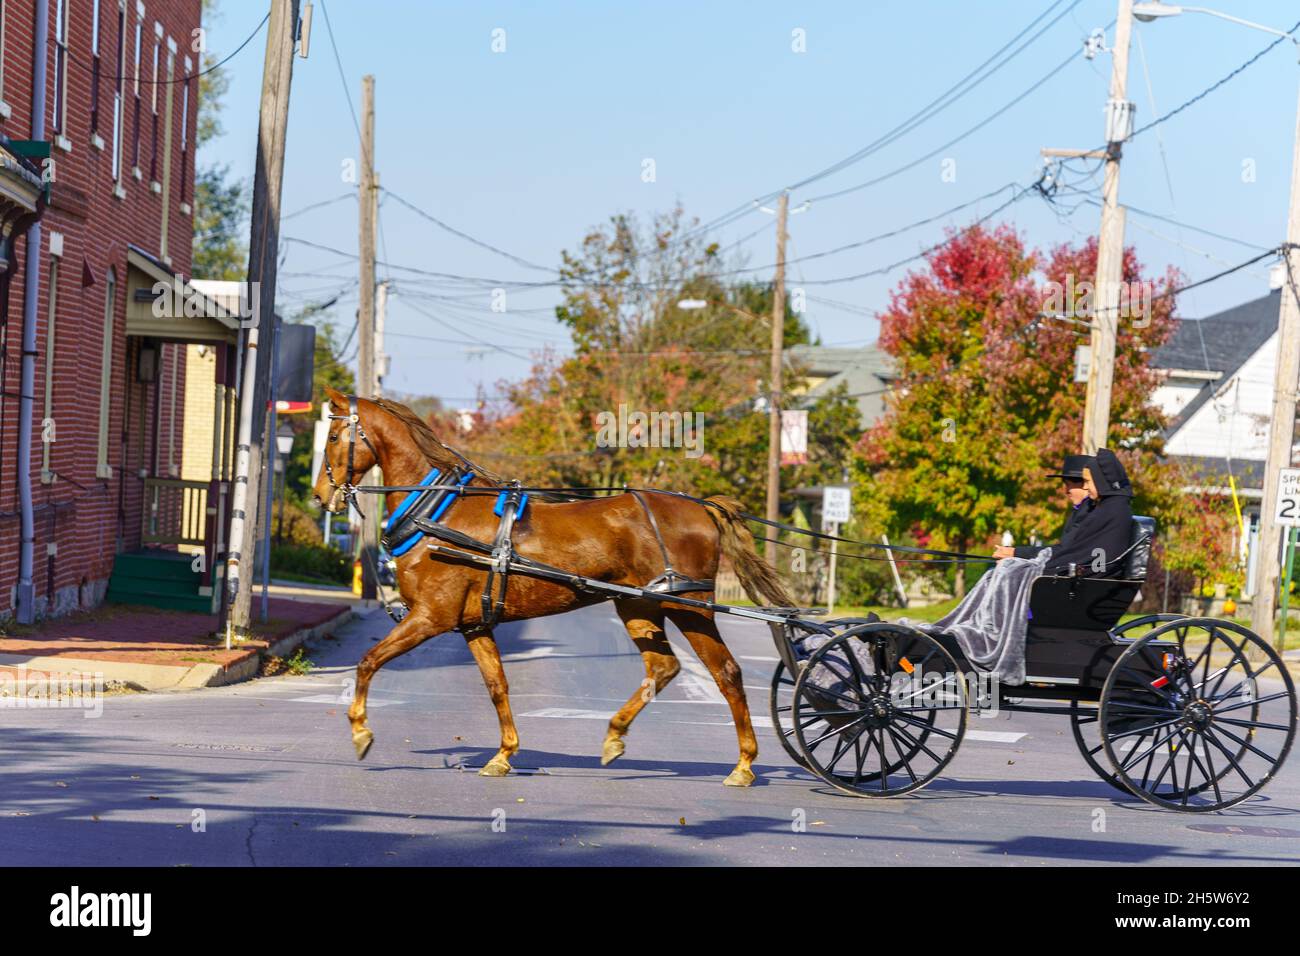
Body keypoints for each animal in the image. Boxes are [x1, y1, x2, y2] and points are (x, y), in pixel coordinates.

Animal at [312, 387, 790, 785]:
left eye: (333, 436)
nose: (320, 495)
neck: (438, 513)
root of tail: (702, 506)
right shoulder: (473, 624)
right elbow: (497, 685)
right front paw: (504, 755)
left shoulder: (431, 616)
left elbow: (368, 661)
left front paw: (360, 731)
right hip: (639, 607)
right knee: (664, 669)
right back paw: (615, 736)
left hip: (690, 607)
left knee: (726, 673)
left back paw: (744, 765)